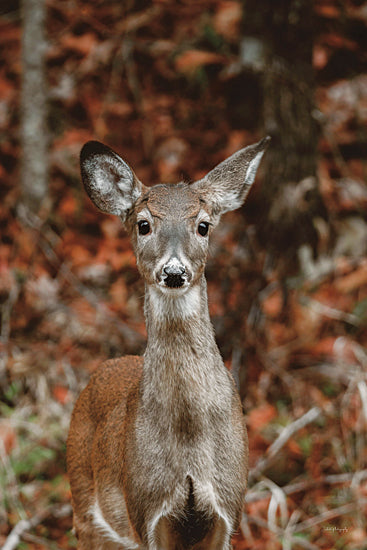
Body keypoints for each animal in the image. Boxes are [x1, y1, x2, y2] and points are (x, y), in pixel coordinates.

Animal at [67, 135, 270, 550]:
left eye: (203, 226)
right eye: (143, 224)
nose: (174, 272)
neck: (190, 435)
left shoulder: (228, 509)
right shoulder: (145, 510)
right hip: (84, 507)